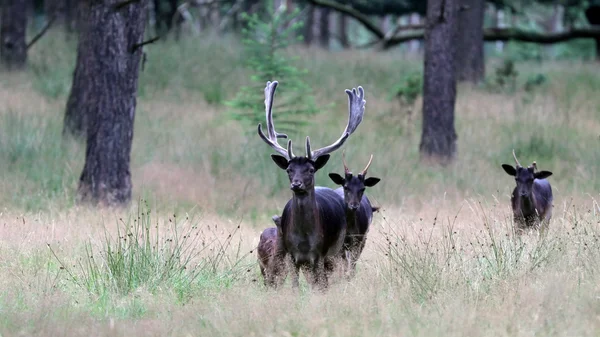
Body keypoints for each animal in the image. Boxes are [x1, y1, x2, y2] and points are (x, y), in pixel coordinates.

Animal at [258, 79, 366, 288]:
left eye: (310, 169)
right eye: (289, 169)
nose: (296, 185)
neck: (304, 241)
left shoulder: (321, 254)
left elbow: (320, 284)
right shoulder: (291, 256)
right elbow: (294, 285)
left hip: (340, 249)